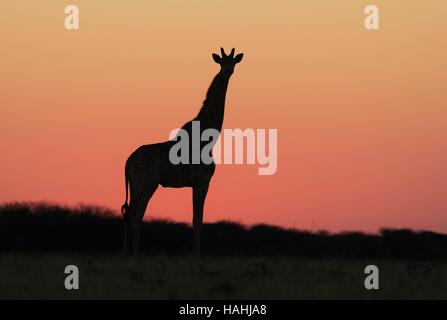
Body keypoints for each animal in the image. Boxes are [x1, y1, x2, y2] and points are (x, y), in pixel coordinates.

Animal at [121, 47, 243, 256]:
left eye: (233, 62)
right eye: (222, 62)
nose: (228, 71)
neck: (208, 138)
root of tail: (128, 161)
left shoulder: (196, 184)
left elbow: (196, 219)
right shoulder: (202, 181)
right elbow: (197, 220)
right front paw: (197, 257)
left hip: (136, 185)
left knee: (129, 213)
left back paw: (126, 255)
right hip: (146, 183)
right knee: (137, 215)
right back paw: (135, 255)